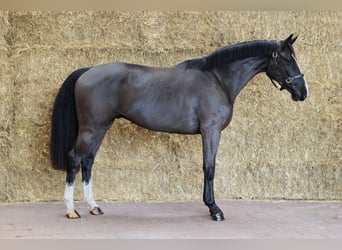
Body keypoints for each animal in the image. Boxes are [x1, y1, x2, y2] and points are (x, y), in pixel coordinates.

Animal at [50, 34, 308, 221]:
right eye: (288, 60)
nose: (303, 93)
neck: (217, 80)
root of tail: (88, 70)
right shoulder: (210, 132)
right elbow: (209, 168)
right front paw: (214, 209)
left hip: (102, 126)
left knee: (88, 161)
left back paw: (94, 206)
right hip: (91, 127)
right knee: (75, 158)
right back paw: (71, 210)